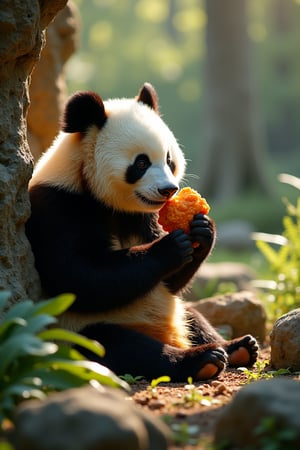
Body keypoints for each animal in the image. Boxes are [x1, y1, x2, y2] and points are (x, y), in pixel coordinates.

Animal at [26, 82, 258, 382]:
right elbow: (76, 275)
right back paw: (202, 359)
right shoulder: (57, 206)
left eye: (169, 160)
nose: (168, 190)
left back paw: (238, 347)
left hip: (177, 313)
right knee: (117, 345)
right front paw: (171, 247)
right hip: (74, 332)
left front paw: (201, 230)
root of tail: (169, 336)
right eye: (141, 163)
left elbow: (168, 281)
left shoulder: (141, 215)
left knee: (193, 316)